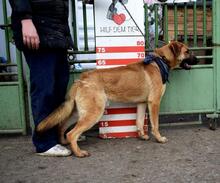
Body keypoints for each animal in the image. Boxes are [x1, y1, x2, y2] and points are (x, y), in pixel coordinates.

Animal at [36, 41, 198, 157]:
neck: (160, 60)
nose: (198, 60)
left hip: (78, 112)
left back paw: (64, 142)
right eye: (187, 51)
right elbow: (155, 124)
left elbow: (139, 122)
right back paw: (79, 152)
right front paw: (159, 138)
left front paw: (142, 135)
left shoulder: (142, 103)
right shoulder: (154, 103)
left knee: (62, 125)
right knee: (72, 133)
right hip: (93, 113)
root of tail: (81, 79)